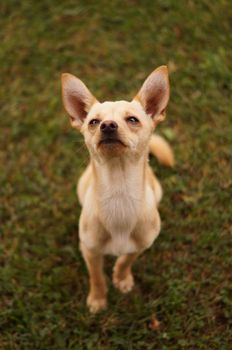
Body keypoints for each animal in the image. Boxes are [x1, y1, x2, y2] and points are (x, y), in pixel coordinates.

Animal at [60, 65, 173, 312]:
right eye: (93, 122)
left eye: (132, 119)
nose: (108, 126)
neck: (119, 193)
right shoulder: (89, 250)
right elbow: (96, 276)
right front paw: (98, 299)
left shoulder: (141, 245)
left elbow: (125, 260)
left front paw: (121, 278)